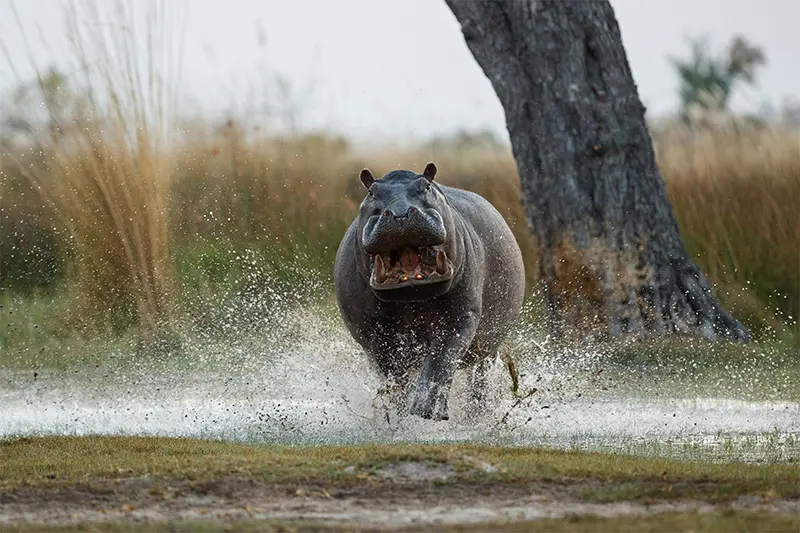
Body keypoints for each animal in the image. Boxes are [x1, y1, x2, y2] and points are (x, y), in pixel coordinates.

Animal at [333, 162, 525, 421]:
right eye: (371, 192)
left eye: (426, 186)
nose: (400, 213)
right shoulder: (373, 332)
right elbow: (393, 372)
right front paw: (399, 414)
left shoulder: (462, 316)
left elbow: (441, 358)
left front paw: (427, 411)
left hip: (488, 347)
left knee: (479, 379)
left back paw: (477, 417)